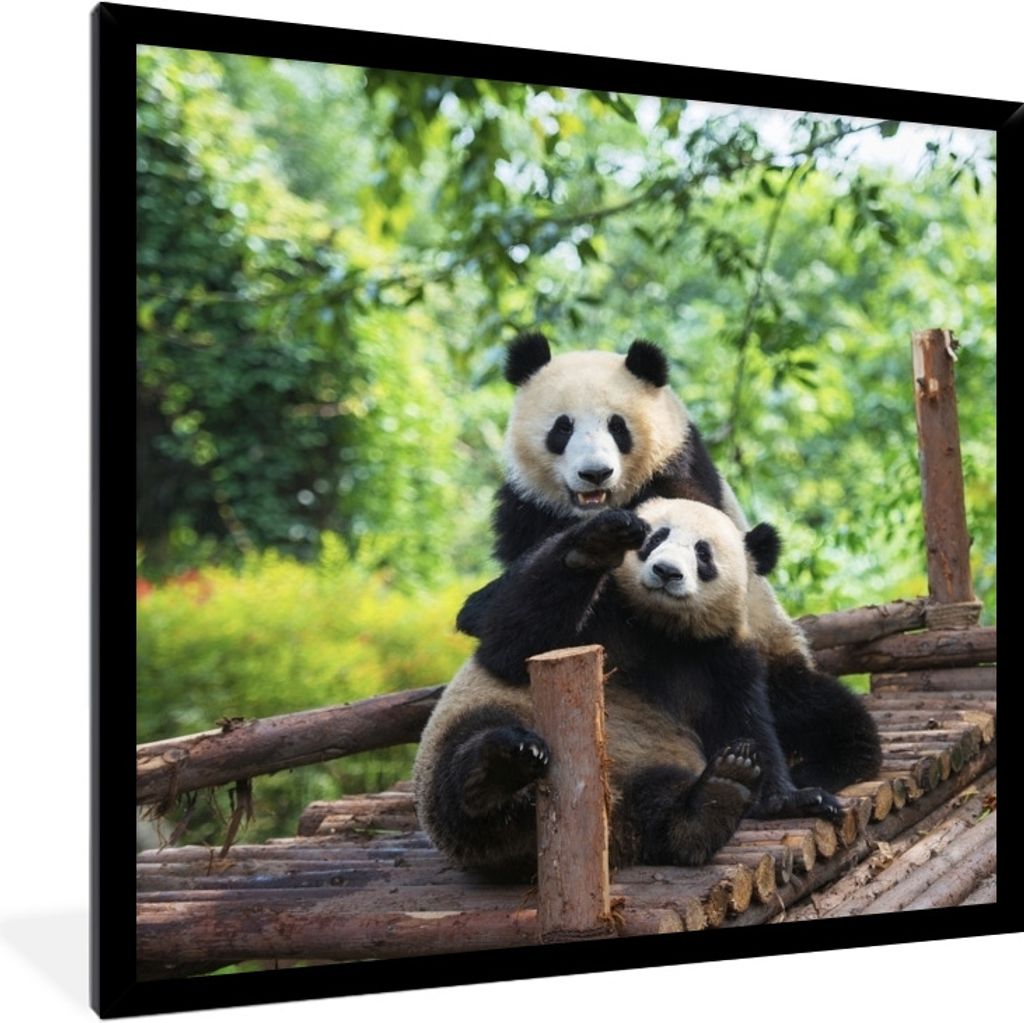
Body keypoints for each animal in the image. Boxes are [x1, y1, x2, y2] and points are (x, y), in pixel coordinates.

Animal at [415, 498, 837, 877]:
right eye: (656, 537)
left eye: (703, 553)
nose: (666, 571)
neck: (658, 627)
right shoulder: (600, 615)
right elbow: (511, 643)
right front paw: (596, 545)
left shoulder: (721, 657)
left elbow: (746, 720)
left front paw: (791, 796)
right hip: (480, 726)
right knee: (467, 754)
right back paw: (499, 770)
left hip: (646, 767)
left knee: (659, 803)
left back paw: (715, 799)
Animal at [457, 333, 881, 796]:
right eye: (562, 427)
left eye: (617, 426)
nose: (595, 473)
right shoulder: (527, 508)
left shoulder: (679, 475)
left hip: (774, 652)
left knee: (825, 712)